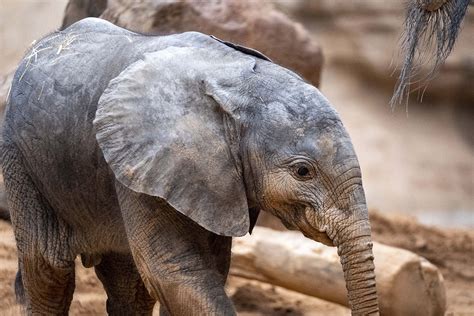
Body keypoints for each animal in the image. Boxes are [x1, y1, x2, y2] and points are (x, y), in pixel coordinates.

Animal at [0, 17, 378, 316]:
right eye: (303, 171)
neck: (236, 82)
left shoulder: (215, 179)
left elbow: (205, 269)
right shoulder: (147, 160)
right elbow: (175, 271)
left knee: (126, 282)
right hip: (19, 155)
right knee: (48, 270)